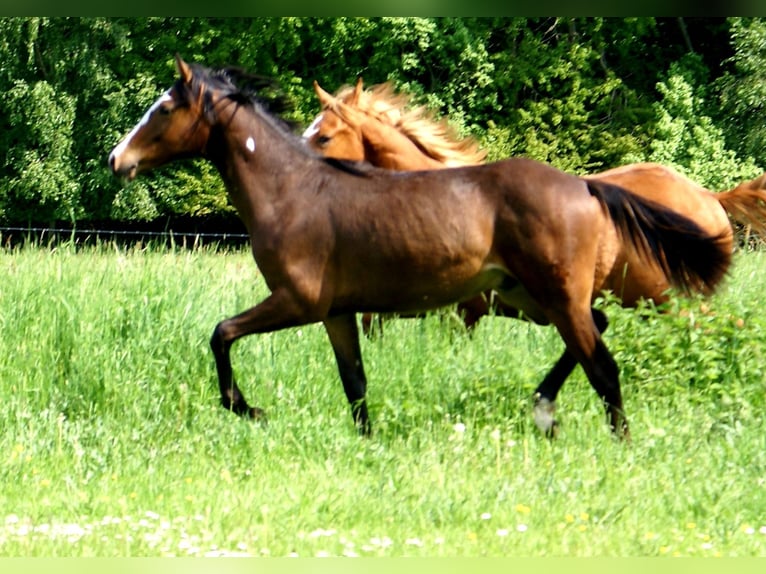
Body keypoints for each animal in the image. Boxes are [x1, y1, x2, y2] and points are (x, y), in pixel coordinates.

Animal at [109, 55, 730, 441]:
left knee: (604, 365)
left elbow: (221, 334)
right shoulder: (338, 313)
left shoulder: (298, 302)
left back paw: (611, 440)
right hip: (533, 297)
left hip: (564, 298)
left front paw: (248, 408)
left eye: (164, 108)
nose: (119, 160)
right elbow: (355, 384)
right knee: (594, 338)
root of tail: (584, 186)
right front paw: (368, 444)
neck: (294, 192)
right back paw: (544, 411)